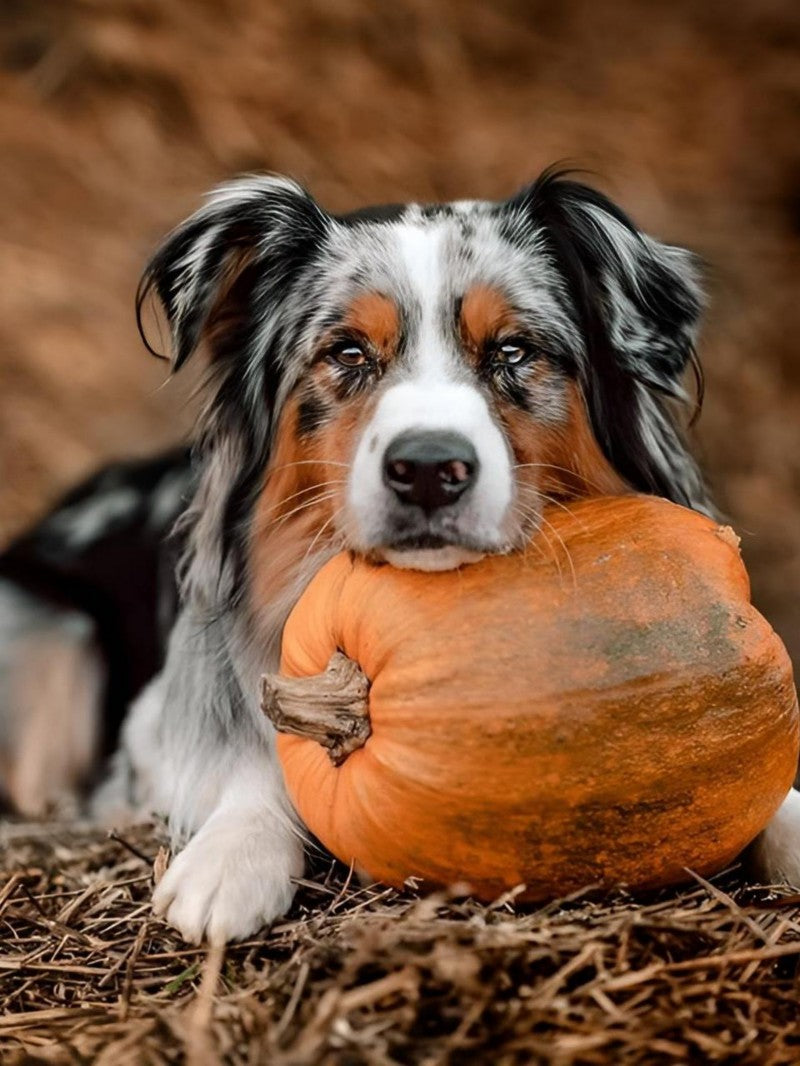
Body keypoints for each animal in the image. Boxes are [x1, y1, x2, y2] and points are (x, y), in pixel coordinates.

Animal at [1, 166, 800, 942]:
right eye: (348, 352)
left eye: (514, 351)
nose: (427, 469)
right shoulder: (155, 722)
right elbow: (248, 758)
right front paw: (230, 856)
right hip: (56, 638)